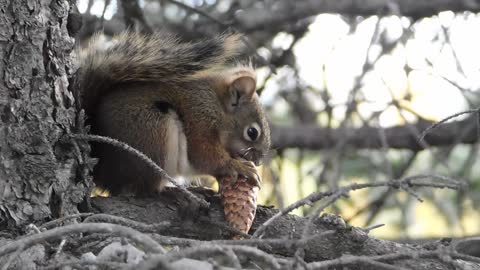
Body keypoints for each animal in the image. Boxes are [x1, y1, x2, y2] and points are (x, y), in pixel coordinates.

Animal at [75, 31, 270, 194]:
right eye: (252, 132)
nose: (259, 161)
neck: (215, 106)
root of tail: (104, 173)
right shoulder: (198, 120)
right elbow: (204, 156)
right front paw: (238, 166)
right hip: (155, 132)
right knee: (143, 188)